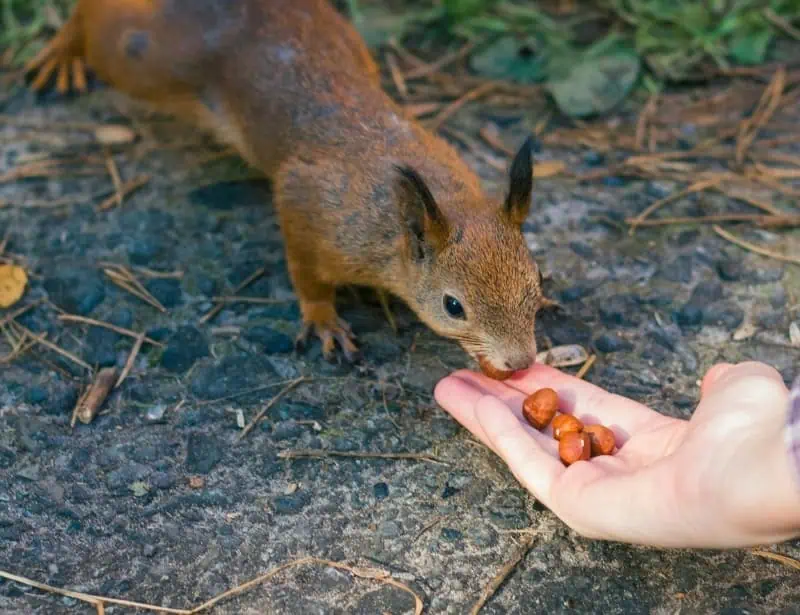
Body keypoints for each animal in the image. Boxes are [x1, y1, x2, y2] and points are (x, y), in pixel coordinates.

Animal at [25, 0, 553, 377]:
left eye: (537, 280)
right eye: (453, 306)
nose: (520, 363)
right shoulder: (308, 206)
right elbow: (305, 272)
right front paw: (323, 320)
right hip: (145, 58)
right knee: (98, 24)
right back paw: (62, 51)